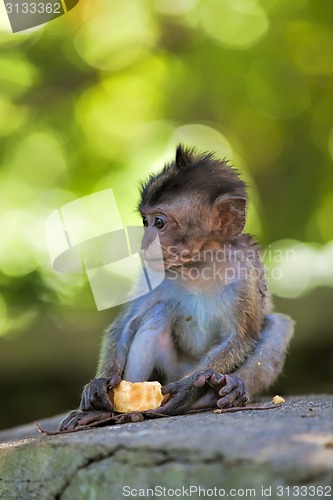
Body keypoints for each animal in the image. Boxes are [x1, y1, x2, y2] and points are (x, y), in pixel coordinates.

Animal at [60, 144, 294, 430]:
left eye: (159, 222)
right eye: (145, 221)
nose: (145, 243)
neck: (198, 265)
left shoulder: (245, 276)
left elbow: (242, 336)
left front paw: (189, 388)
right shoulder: (152, 271)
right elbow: (126, 323)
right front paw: (101, 382)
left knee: (278, 324)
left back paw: (222, 392)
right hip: (170, 370)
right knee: (156, 314)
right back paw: (113, 411)